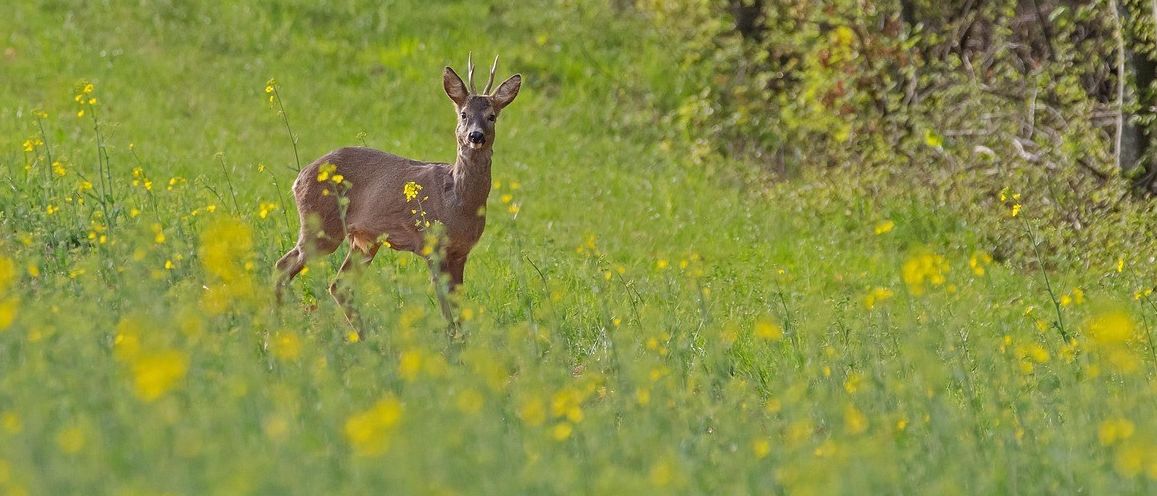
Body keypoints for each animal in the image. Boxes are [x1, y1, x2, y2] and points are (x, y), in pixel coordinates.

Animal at [274, 54, 521, 337]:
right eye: (464, 114)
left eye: (492, 116)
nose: (475, 135)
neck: (457, 202)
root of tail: (299, 178)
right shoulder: (432, 245)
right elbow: (446, 311)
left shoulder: (460, 252)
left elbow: (458, 308)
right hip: (322, 227)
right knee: (284, 267)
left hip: (364, 239)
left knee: (339, 285)